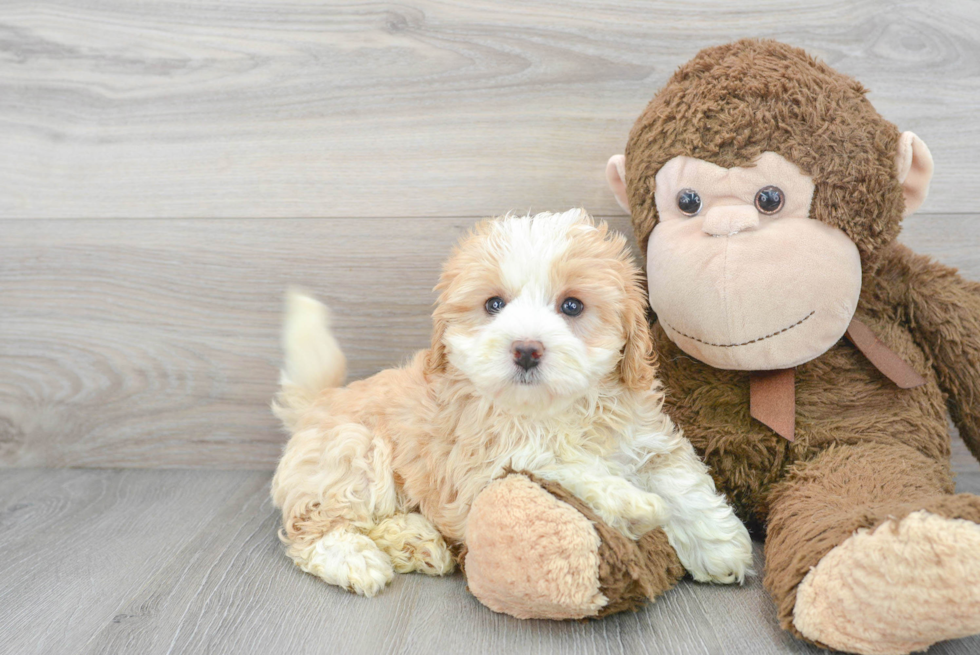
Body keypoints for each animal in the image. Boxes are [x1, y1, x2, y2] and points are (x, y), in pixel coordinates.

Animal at [272, 211, 756, 600]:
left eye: (572, 305)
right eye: (494, 304)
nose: (526, 349)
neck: (552, 412)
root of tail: (317, 402)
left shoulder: (646, 433)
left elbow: (681, 481)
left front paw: (720, 545)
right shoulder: (487, 463)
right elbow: (562, 466)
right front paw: (633, 505)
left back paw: (416, 541)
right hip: (354, 450)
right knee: (313, 525)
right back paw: (354, 557)